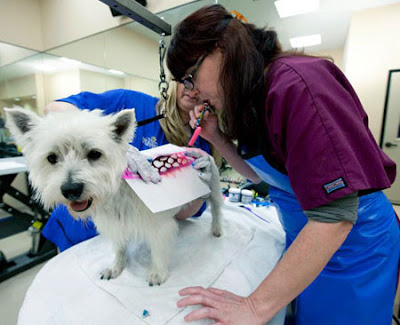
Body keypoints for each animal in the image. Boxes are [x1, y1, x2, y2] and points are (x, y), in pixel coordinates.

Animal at [4, 106, 223, 284]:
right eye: (51, 157)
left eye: (94, 154)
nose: (71, 189)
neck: (117, 193)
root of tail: (189, 147)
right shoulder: (116, 225)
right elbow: (119, 249)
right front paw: (115, 269)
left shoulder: (160, 227)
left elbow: (159, 251)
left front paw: (157, 274)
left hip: (213, 187)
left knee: (217, 210)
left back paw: (216, 230)